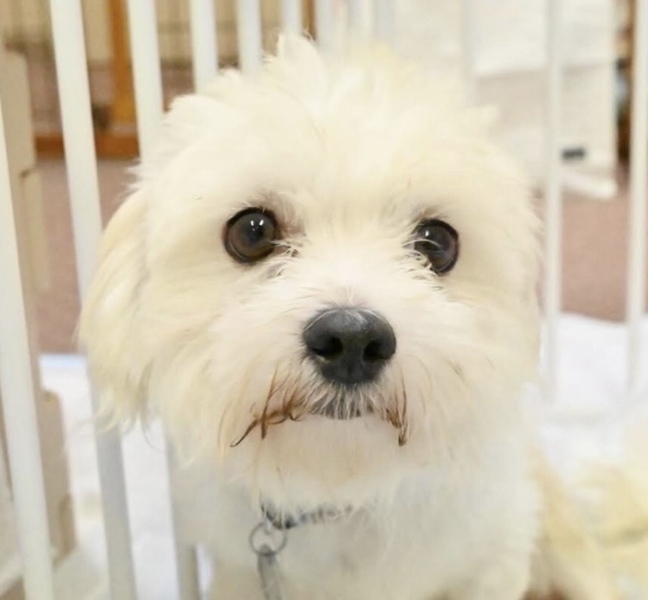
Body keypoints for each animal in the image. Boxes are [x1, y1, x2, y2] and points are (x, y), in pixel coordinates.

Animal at [80, 36, 619, 599]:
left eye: (438, 243)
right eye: (251, 231)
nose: (352, 340)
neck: (340, 487)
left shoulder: (493, 556)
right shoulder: (238, 572)